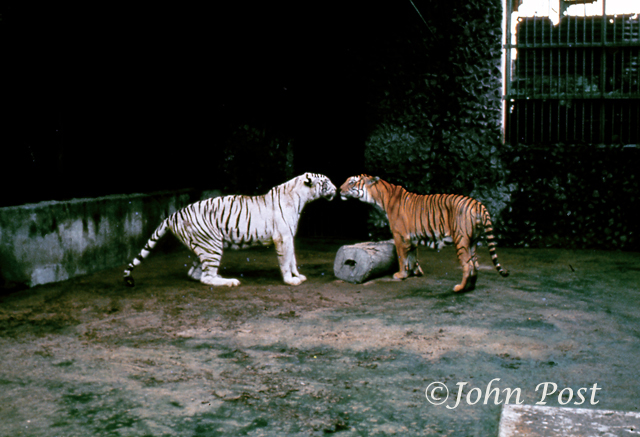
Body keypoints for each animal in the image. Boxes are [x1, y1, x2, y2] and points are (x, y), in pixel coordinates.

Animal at [124, 173, 336, 287]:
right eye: (326, 182)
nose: (336, 189)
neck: (301, 198)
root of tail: (173, 214)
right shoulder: (283, 238)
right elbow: (285, 260)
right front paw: (289, 280)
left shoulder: (289, 237)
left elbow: (293, 259)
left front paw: (297, 276)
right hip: (212, 244)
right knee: (206, 278)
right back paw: (230, 281)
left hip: (204, 245)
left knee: (196, 273)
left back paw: (219, 276)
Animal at [339, 174, 508, 292]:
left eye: (352, 182)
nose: (339, 189)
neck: (381, 198)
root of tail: (478, 204)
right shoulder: (412, 238)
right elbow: (413, 257)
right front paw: (416, 272)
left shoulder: (400, 236)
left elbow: (402, 257)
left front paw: (401, 275)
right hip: (472, 241)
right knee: (476, 264)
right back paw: (470, 287)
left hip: (461, 240)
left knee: (468, 265)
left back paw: (459, 288)